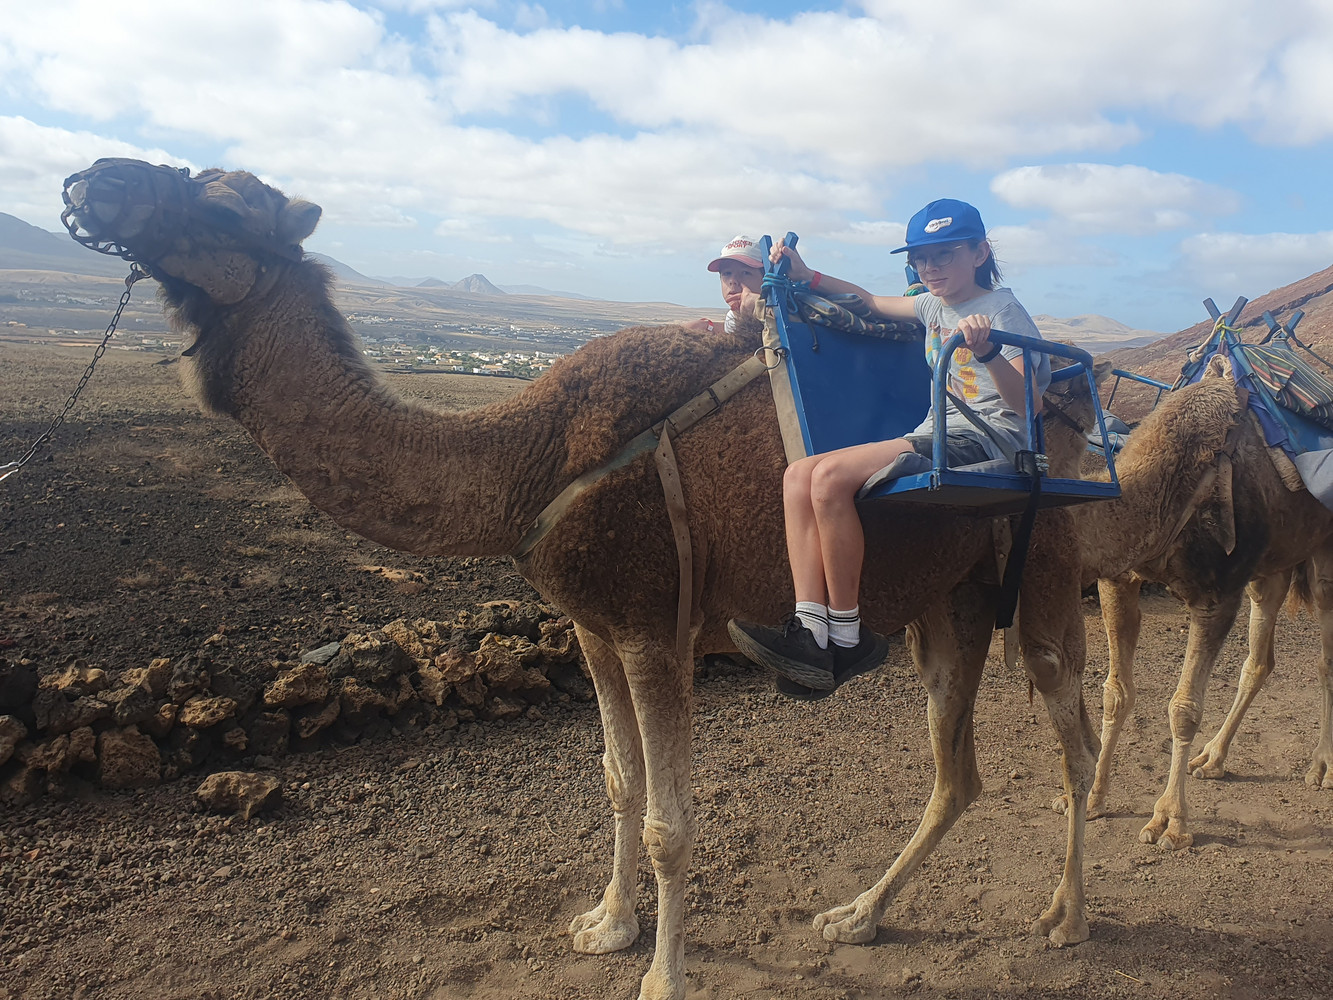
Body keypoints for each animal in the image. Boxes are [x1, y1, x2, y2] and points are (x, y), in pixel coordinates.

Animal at [61, 158, 1102, 1000]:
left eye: (225, 206)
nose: (92, 179)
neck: (529, 457)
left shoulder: (652, 625)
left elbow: (671, 823)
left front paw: (663, 976)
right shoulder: (593, 628)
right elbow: (615, 780)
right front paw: (606, 927)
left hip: (1044, 575)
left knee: (1072, 733)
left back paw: (1066, 917)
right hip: (944, 606)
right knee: (956, 771)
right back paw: (858, 914)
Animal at [1066, 364, 1333, 849]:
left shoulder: (1216, 594)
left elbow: (1184, 708)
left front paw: (1170, 822)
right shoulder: (1119, 579)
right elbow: (1115, 693)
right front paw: (1091, 797)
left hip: (1322, 549)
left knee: (1324, 652)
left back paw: (1322, 766)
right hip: (1270, 566)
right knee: (1260, 658)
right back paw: (1212, 758)